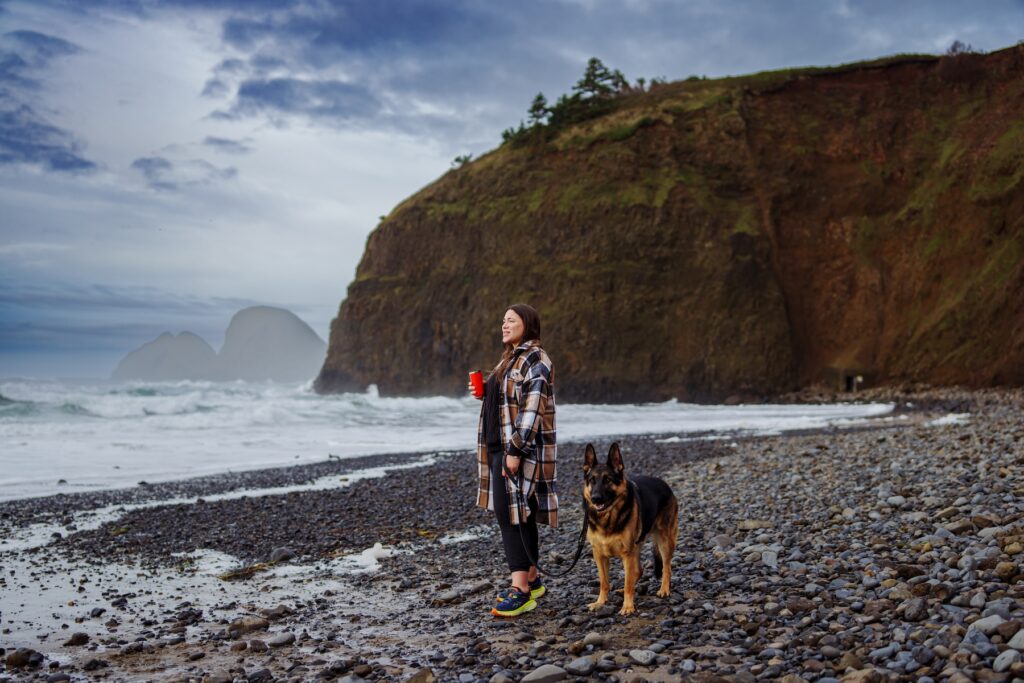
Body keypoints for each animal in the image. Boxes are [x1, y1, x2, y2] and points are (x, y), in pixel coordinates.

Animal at [585, 444, 679, 614]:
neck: (608, 518)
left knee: (666, 567)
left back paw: (664, 589)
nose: (595, 498)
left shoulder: (627, 554)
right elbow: (604, 582)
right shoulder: (599, 555)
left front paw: (628, 606)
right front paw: (600, 602)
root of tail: (664, 483)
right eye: (592, 481)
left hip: (664, 542)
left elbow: (628, 582)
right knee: (638, 570)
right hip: (637, 546)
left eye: (607, 480)